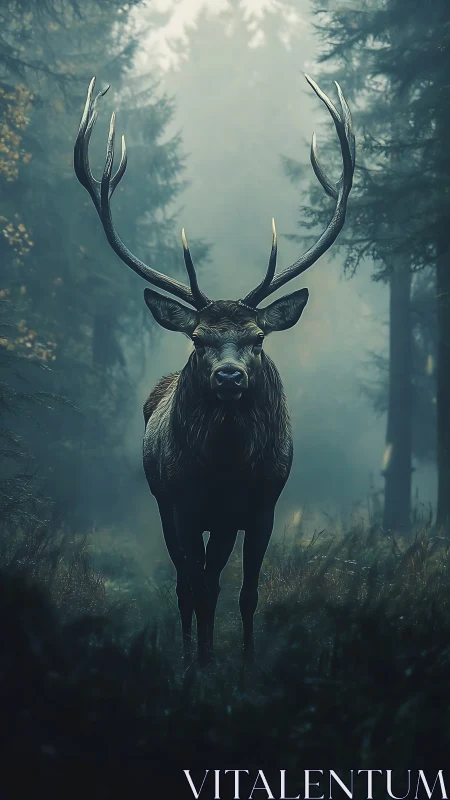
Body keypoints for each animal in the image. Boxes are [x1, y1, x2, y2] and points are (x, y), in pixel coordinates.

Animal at [74, 74, 355, 665]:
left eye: (257, 338)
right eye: (199, 340)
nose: (229, 377)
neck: (226, 468)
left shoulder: (262, 505)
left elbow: (245, 592)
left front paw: (244, 666)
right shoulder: (183, 504)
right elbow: (195, 587)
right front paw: (198, 668)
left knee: (213, 578)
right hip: (164, 502)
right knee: (189, 582)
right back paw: (190, 654)